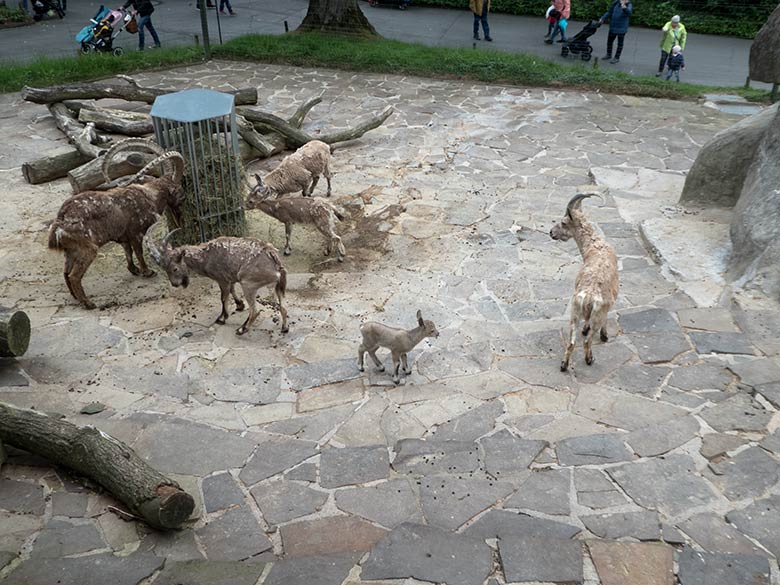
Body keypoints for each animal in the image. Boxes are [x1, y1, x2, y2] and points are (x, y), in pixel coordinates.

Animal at [47, 139, 184, 310]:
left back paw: (76, 297)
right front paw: (148, 272)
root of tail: (60, 222)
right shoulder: (136, 233)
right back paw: (89, 303)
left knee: (65, 272)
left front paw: (134, 270)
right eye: (180, 191)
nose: (181, 207)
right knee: (73, 276)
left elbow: (128, 253)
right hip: (87, 249)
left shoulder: (124, 237)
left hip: (70, 251)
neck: (151, 196)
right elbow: (139, 252)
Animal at [146, 224, 290, 334]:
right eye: (165, 270)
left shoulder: (222, 280)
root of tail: (276, 264)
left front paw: (222, 318)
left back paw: (241, 330)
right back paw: (284, 328)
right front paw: (239, 305)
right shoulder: (230, 279)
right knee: (283, 307)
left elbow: (223, 298)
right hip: (276, 286)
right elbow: (232, 291)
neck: (206, 256)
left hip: (248, 283)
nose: (175, 284)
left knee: (255, 311)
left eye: (175, 269)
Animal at [552, 194, 620, 372]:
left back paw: (564, 365)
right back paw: (590, 359)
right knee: (587, 340)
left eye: (563, 222)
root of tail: (588, 297)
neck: (594, 245)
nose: (551, 232)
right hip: (596, 314)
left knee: (571, 342)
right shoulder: (608, 304)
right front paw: (605, 335)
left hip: (574, 313)